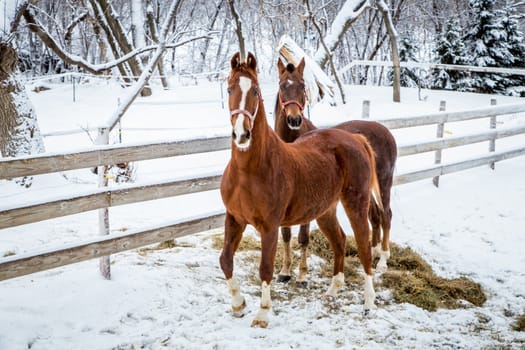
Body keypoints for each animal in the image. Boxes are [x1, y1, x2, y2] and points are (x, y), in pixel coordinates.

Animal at [220, 52, 380, 328]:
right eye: (230, 88)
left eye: (255, 90)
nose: (242, 134)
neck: (249, 170)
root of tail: (357, 139)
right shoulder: (234, 219)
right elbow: (225, 260)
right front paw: (238, 304)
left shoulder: (270, 227)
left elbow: (266, 268)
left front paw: (262, 314)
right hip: (325, 211)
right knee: (339, 241)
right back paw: (332, 291)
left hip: (356, 205)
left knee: (364, 247)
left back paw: (368, 303)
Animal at [272, 58, 396, 284]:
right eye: (282, 85)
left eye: (302, 85)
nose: (294, 119)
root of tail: (384, 131)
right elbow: (285, 234)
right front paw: (285, 271)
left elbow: (303, 237)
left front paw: (302, 274)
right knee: (374, 216)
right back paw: (373, 252)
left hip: (384, 184)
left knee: (385, 215)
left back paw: (383, 260)